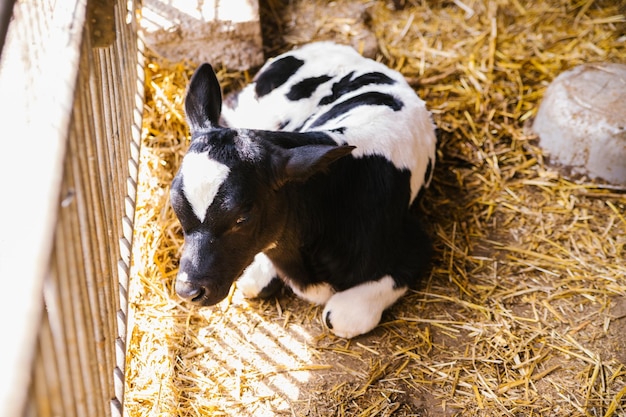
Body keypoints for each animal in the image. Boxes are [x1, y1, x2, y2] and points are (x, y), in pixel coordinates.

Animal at [168, 41, 436, 338]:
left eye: (242, 217)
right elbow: (253, 281)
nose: (188, 290)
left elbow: (342, 317)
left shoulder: (413, 244)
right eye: (175, 204)